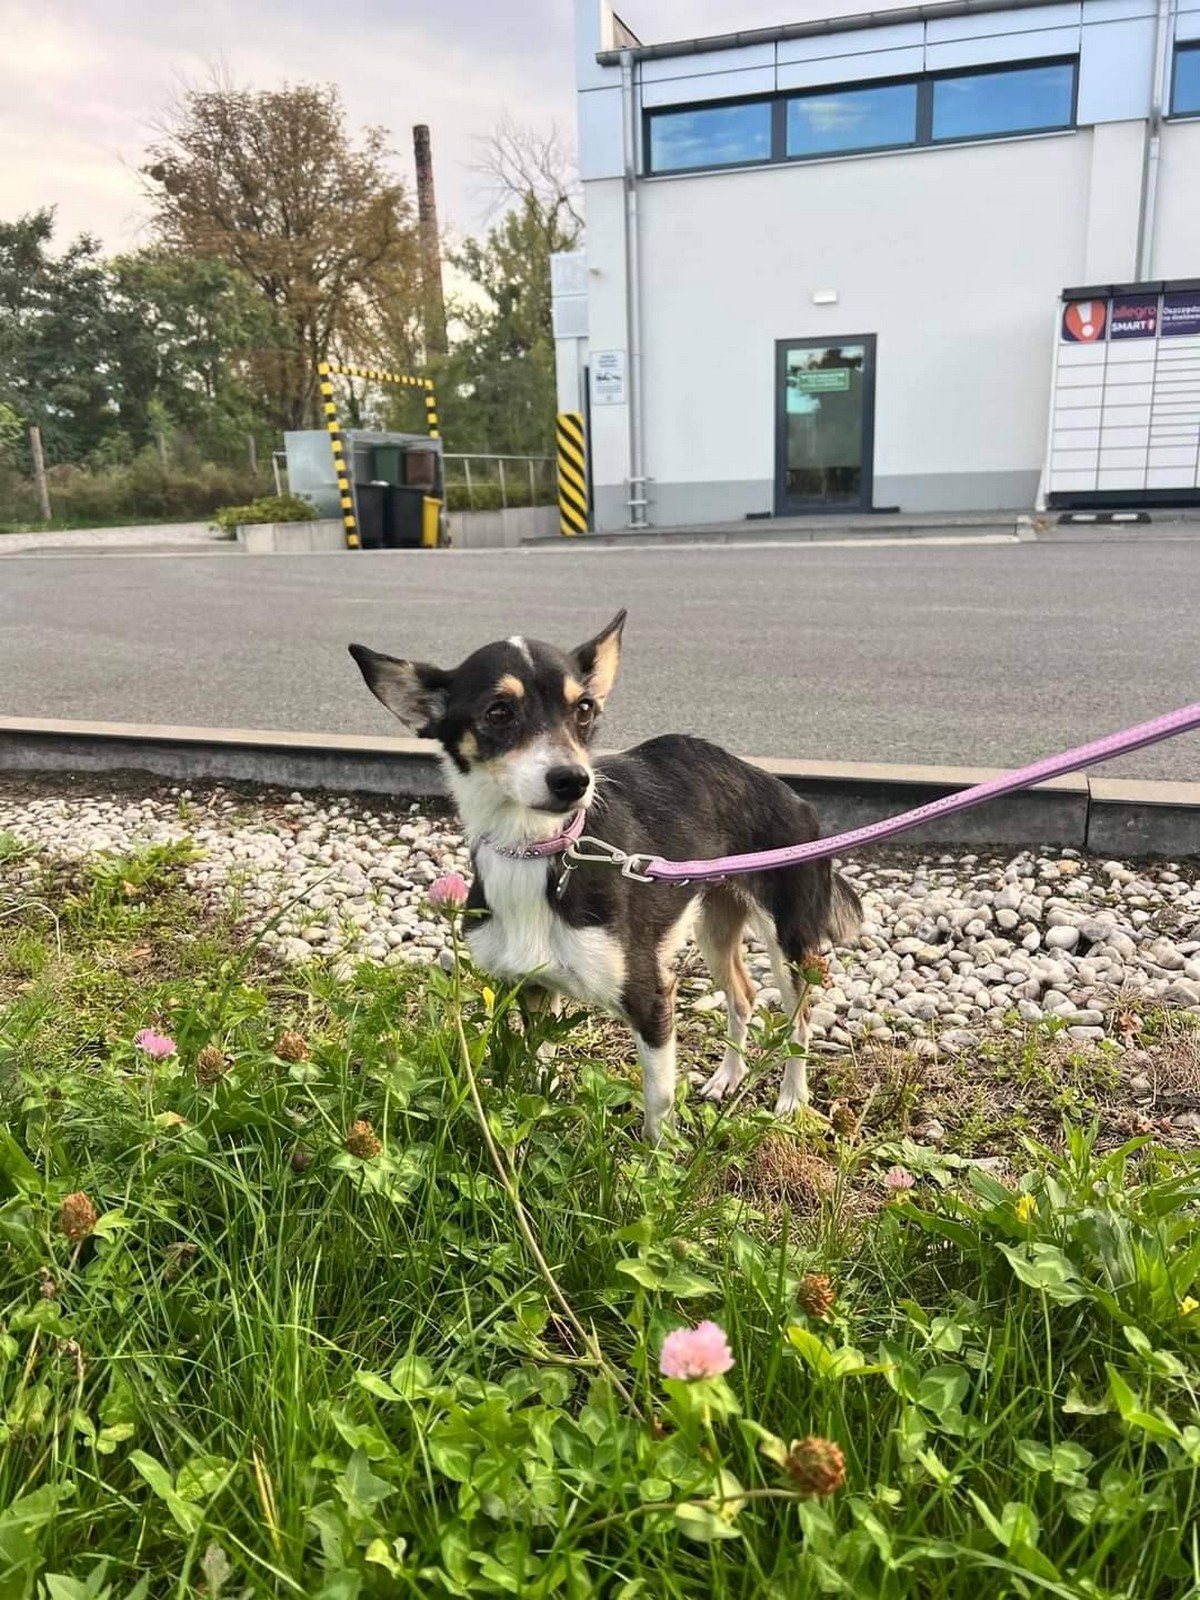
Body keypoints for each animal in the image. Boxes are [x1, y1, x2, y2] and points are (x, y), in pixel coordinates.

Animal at [350, 604, 864, 1145]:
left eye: (584, 709)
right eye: (498, 711)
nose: (573, 781)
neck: (539, 851)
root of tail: (783, 790)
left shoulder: (651, 998)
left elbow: (658, 1102)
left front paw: (660, 1158)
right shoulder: (534, 991)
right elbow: (538, 1072)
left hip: (790, 942)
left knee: (798, 1019)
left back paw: (791, 1100)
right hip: (713, 923)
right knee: (742, 997)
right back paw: (728, 1077)